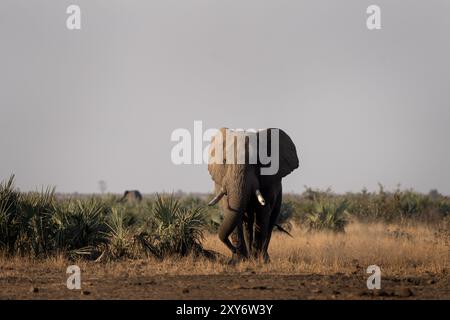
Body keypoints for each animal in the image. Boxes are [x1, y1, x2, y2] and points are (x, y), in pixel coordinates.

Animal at [207, 126, 298, 262]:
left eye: (257, 163)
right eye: (224, 161)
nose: (233, 248)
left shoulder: (268, 182)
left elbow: (262, 211)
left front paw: (257, 260)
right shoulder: (220, 180)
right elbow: (228, 210)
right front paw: (239, 260)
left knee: (270, 221)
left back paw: (263, 258)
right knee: (247, 222)